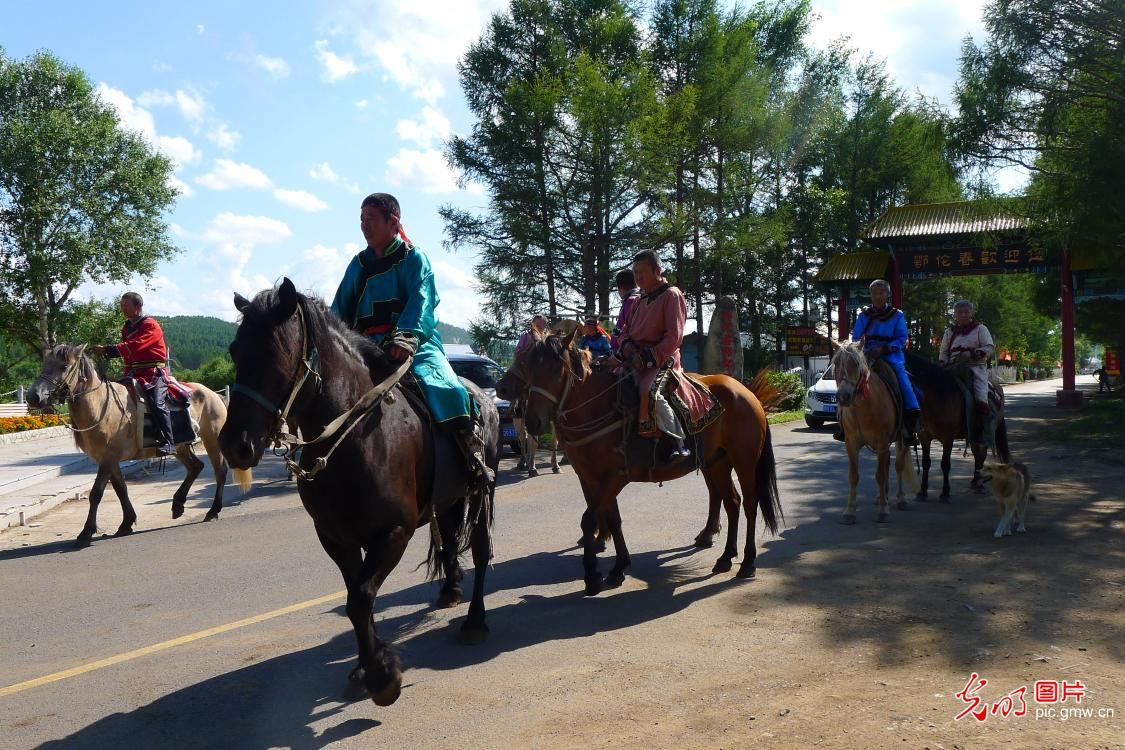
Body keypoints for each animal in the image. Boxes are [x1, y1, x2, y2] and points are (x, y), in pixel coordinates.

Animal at [27, 344, 252, 546]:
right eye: (44, 363)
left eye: (63, 366)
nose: (33, 396)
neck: (100, 406)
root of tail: (214, 394)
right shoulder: (109, 460)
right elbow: (121, 489)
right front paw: (126, 523)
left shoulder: (107, 459)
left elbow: (96, 493)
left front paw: (86, 532)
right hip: (180, 447)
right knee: (196, 467)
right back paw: (178, 505)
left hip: (211, 439)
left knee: (219, 472)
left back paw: (212, 511)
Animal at [218, 278, 497, 706]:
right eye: (235, 350)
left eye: (274, 351)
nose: (236, 444)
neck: (357, 437)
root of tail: (485, 397)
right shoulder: (336, 537)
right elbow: (355, 599)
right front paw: (368, 665)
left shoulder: (394, 533)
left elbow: (362, 596)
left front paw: (382, 678)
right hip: (449, 501)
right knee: (450, 540)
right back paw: (450, 588)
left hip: (482, 493)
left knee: (481, 550)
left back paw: (475, 621)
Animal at [508, 330, 783, 593]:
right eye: (528, 366)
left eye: (556, 370)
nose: (532, 421)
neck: (600, 408)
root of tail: (746, 392)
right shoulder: (592, 478)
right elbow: (613, 520)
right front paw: (619, 567)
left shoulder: (614, 477)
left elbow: (589, 520)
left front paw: (592, 577)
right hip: (717, 463)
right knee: (731, 502)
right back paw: (726, 556)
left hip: (744, 461)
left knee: (749, 504)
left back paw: (747, 562)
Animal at [832, 341, 918, 526]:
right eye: (836, 363)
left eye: (856, 364)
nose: (843, 397)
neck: (864, 407)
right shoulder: (851, 443)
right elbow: (853, 476)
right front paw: (850, 511)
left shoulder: (882, 441)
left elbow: (881, 475)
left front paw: (883, 512)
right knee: (887, 466)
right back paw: (881, 497)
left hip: (901, 441)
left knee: (898, 466)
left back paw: (900, 499)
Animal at [900, 353, 1017, 503]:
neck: (937, 395)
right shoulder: (924, 437)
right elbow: (926, 463)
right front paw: (923, 491)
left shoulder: (948, 438)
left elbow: (945, 464)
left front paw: (945, 493)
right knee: (978, 454)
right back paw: (975, 481)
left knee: (982, 453)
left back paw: (979, 483)